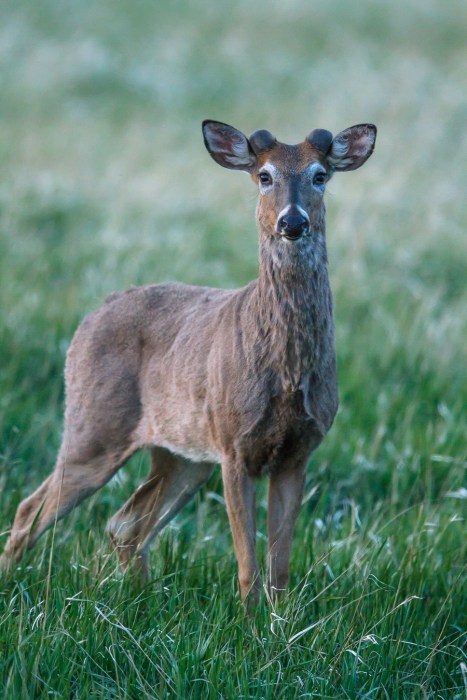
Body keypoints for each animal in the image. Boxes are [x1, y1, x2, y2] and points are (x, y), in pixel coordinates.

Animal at [0, 119, 376, 603]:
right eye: (264, 175)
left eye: (320, 175)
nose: (292, 222)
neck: (286, 370)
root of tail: (91, 316)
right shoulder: (234, 446)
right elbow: (248, 565)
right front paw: (249, 620)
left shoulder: (300, 450)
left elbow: (280, 568)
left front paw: (279, 618)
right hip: (95, 424)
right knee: (31, 509)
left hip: (183, 454)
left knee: (125, 522)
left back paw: (142, 599)